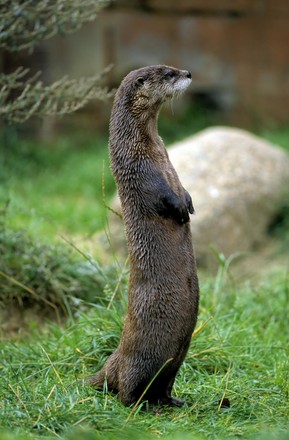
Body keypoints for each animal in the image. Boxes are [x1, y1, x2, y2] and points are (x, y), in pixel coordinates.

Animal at [89, 64, 198, 406]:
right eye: (168, 74)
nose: (188, 72)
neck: (151, 148)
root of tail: (112, 361)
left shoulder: (169, 165)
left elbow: (182, 186)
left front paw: (189, 203)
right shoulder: (141, 171)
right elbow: (162, 196)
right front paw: (179, 209)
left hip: (177, 357)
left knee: (163, 383)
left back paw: (173, 401)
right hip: (142, 357)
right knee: (126, 389)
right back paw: (141, 405)